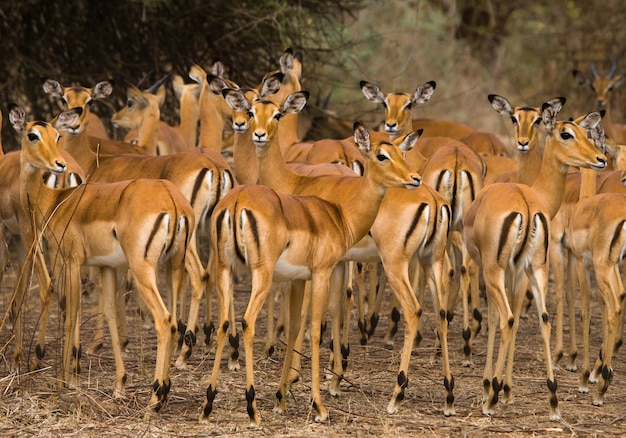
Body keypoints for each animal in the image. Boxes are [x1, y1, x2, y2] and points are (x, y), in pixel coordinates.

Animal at [9, 104, 193, 416]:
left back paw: (155, 398)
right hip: (174, 266)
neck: (58, 201)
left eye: (57, 135)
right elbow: (109, 313)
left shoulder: (72, 262)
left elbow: (72, 312)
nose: (59, 164)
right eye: (33, 135)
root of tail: (172, 200)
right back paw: (165, 391)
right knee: (175, 318)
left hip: (143, 269)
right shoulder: (106, 267)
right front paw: (119, 385)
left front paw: (65, 381)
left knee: (163, 318)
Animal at [460, 97, 604, 420]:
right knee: (544, 320)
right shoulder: (521, 271)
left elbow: (495, 319)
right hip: (537, 269)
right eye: (568, 133)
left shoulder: (500, 271)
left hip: (495, 270)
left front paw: (494, 387)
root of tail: (525, 205)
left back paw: (490, 400)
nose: (600, 158)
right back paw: (553, 401)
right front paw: (507, 389)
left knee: (506, 318)